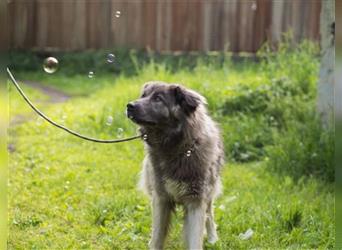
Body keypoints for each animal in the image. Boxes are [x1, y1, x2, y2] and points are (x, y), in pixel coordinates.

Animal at [125, 81, 224, 249]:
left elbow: (195, 238)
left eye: (158, 98)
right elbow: (157, 237)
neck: (175, 149)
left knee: (210, 214)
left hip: (210, 191)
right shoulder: (161, 199)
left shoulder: (196, 201)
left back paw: (212, 238)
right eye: (143, 96)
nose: (129, 106)